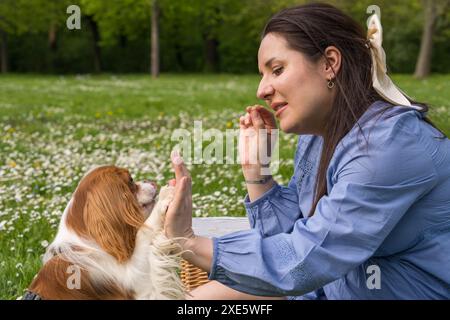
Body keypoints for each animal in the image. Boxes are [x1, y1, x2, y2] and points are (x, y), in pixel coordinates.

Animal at [25, 166, 185, 298]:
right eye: (131, 180)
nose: (150, 181)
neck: (87, 246)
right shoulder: (136, 282)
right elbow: (144, 233)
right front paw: (165, 195)